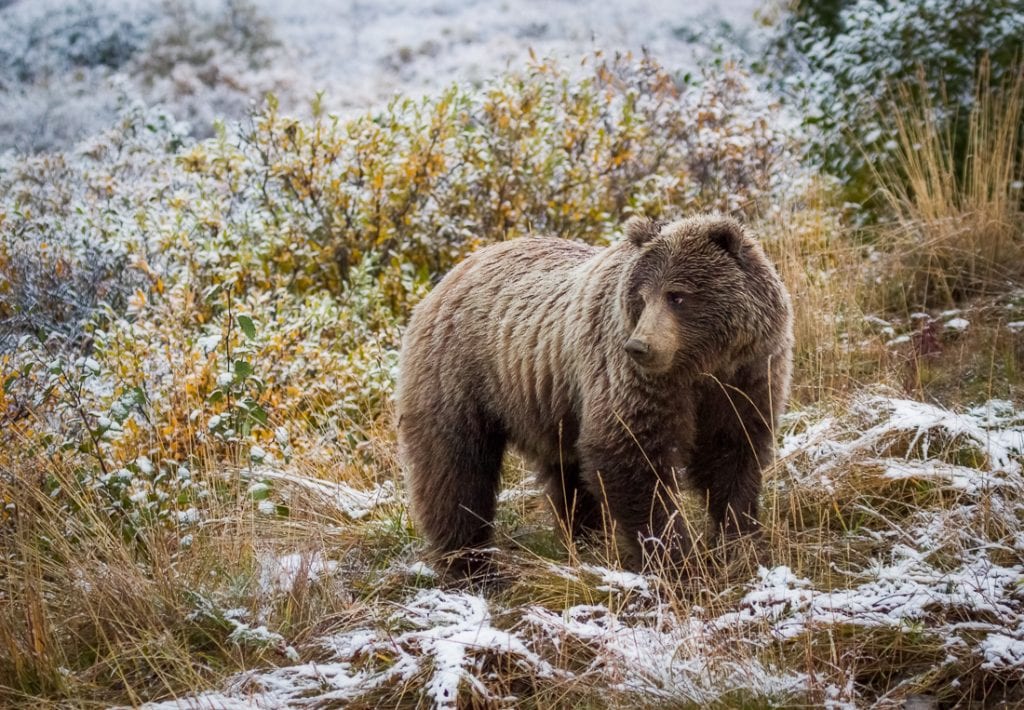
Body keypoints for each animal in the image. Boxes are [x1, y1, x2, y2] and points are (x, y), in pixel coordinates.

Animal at [397, 214, 790, 569]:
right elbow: (629, 454)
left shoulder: (745, 378)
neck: (701, 366)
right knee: (456, 471)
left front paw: (739, 541)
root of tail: (450, 277)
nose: (640, 346)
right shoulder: (633, 380)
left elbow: (731, 455)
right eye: (642, 297)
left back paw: (584, 538)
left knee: (568, 477)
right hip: (460, 378)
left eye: (677, 296)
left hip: (553, 403)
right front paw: (677, 558)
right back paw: (467, 560)